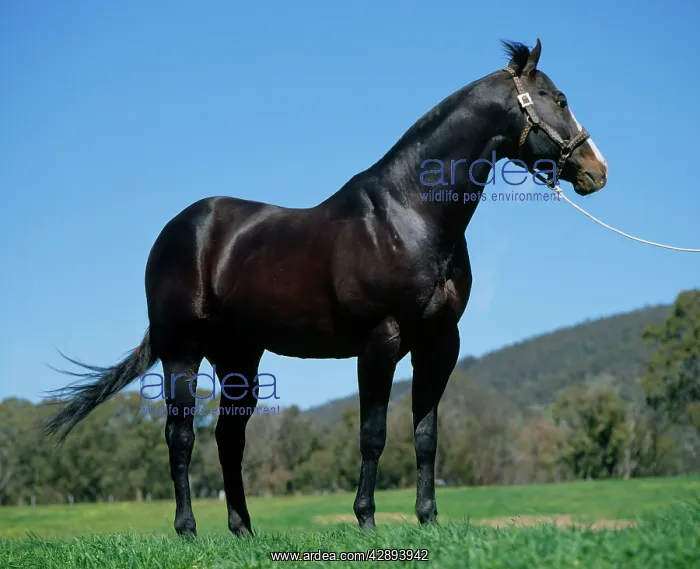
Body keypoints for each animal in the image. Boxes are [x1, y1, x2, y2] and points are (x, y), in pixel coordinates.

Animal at [44, 38, 608, 537]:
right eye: (558, 99)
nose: (596, 171)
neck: (410, 214)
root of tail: (177, 230)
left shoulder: (439, 343)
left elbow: (426, 435)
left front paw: (428, 519)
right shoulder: (380, 341)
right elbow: (373, 434)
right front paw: (367, 520)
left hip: (239, 356)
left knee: (230, 438)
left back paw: (243, 530)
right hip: (182, 351)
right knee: (180, 436)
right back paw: (187, 530)